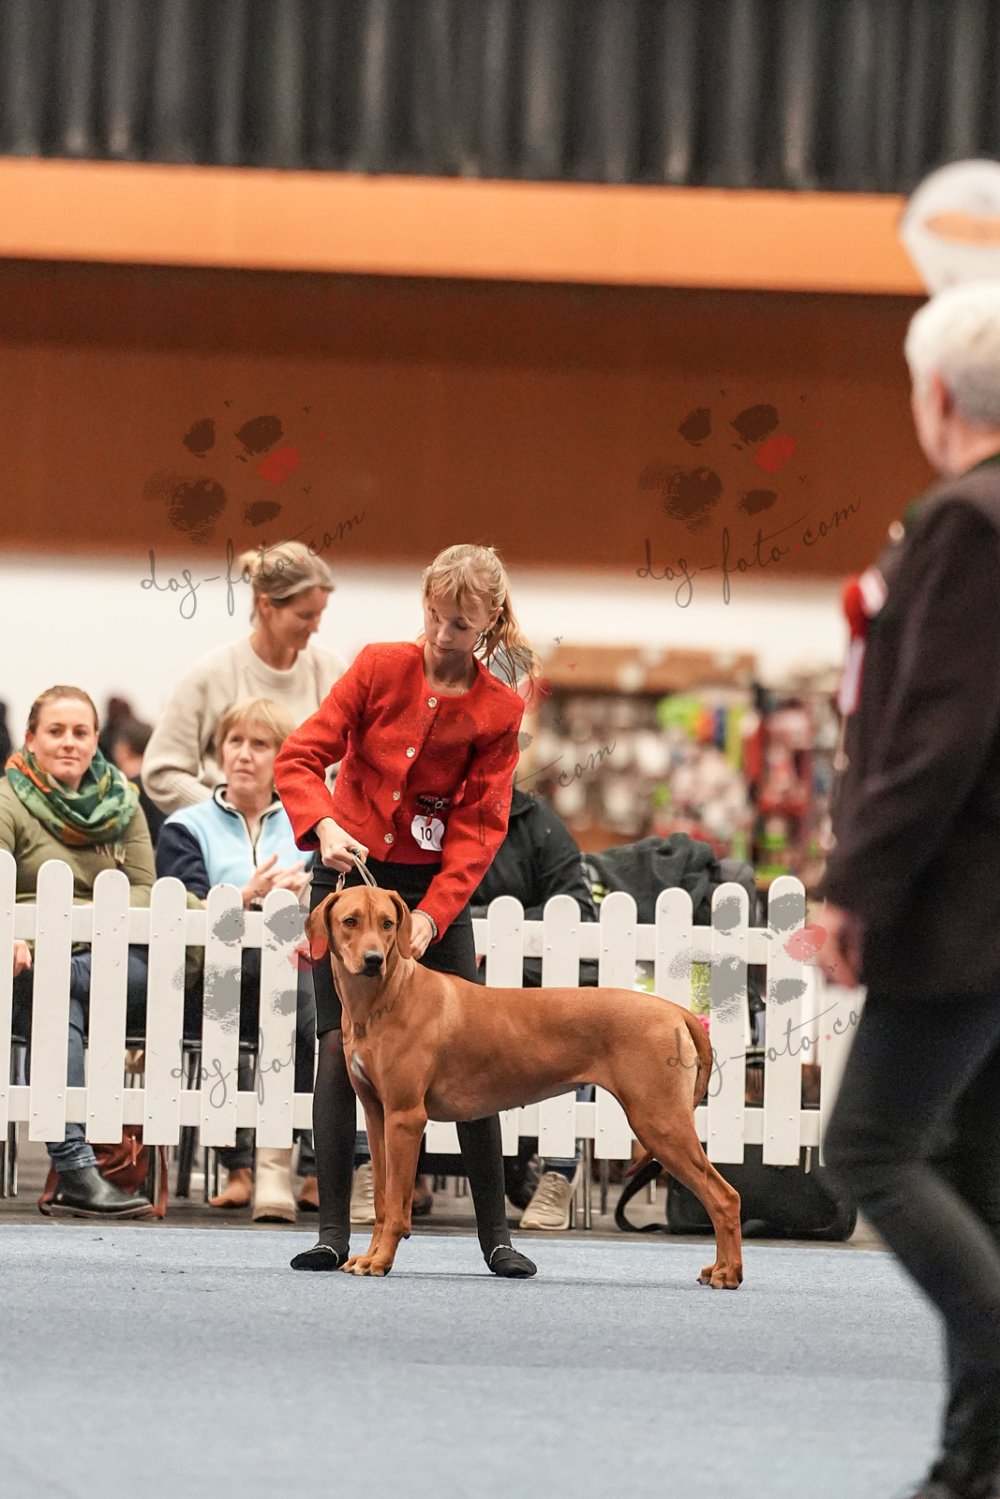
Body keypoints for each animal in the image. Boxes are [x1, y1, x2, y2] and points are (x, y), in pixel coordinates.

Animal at [306, 885, 743, 1286]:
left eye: (387, 924)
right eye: (350, 921)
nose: (373, 960)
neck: (385, 996)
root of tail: (677, 1011)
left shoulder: (406, 1117)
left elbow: (397, 1207)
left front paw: (380, 1261)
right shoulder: (378, 1116)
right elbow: (383, 1203)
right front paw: (370, 1255)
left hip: (660, 1121)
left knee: (725, 1196)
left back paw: (728, 1272)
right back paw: (721, 1269)